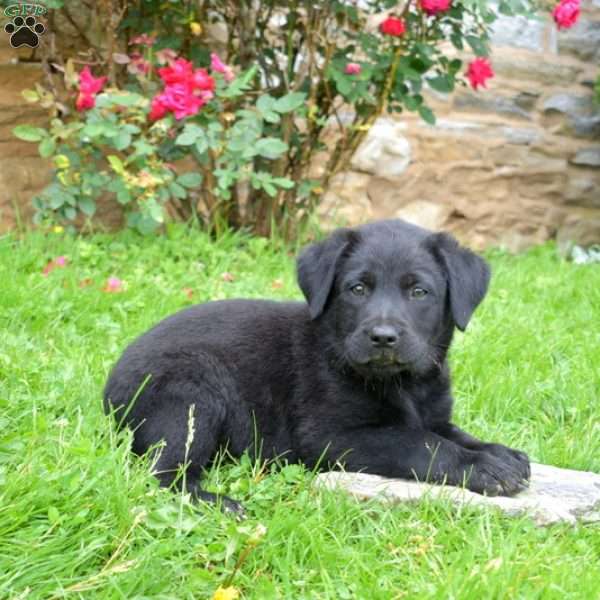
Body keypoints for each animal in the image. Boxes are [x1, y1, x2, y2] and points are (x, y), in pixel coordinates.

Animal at [103, 218, 528, 508]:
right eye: (358, 288)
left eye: (419, 292)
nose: (383, 337)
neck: (406, 383)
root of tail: (109, 392)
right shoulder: (330, 438)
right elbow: (421, 443)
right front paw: (483, 467)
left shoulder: (434, 415)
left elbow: (451, 433)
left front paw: (500, 453)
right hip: (193, 392)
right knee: (162, 473)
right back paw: (218, 503)